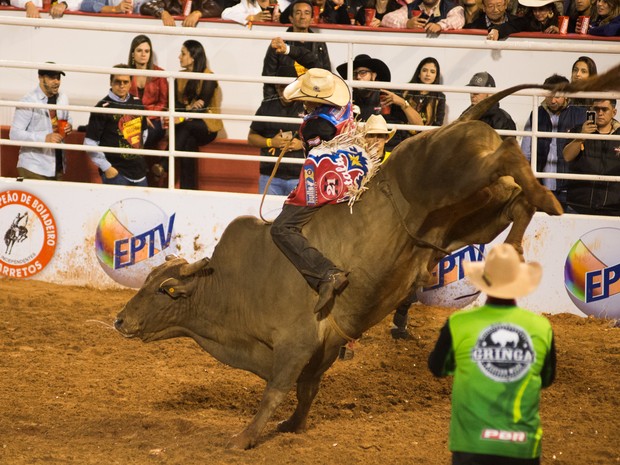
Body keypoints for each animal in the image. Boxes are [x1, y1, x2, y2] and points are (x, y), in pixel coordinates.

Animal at [114, 63, 620, 448]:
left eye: (163, 290)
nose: (119, 320)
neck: (231, 289)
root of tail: (453, 124)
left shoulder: (296, 343)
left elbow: (275, 392)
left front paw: (243, 438)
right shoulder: (321, 351)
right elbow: (305, 393)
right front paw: (292, 427)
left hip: (462, 177)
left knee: (511, 152)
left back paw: (547, 198)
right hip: (477, 213)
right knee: (516, 201)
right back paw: (518, 240)